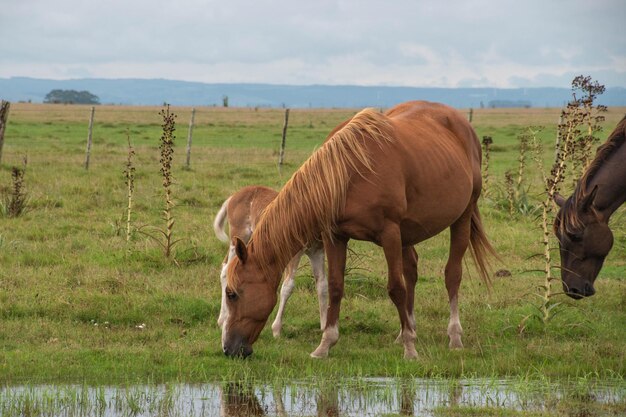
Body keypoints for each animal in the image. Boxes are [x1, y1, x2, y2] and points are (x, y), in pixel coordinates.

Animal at [213, 185, 326, 334]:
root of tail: (234, 196)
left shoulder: (317, 252)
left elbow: (322, 285)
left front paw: (325, 326)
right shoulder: (293, 255)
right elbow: (288, 287)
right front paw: (276, 329)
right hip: (239, 236)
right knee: (226, 270)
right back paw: (222, 319)